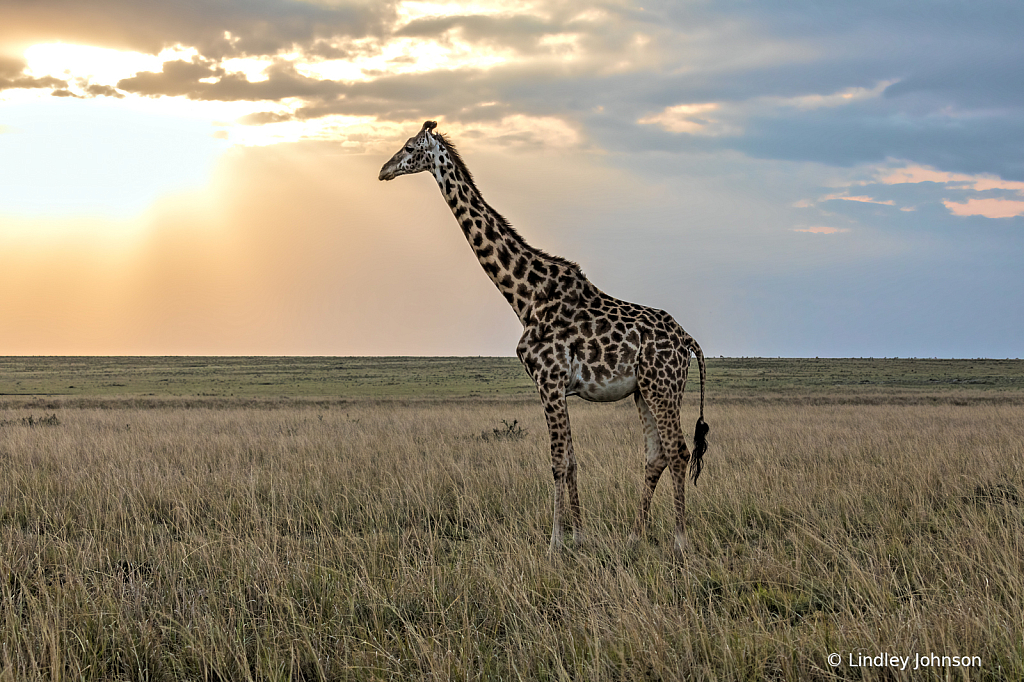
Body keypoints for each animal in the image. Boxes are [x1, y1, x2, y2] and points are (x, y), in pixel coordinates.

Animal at [380, 119, 708, 552]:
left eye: (408, 147)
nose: (383, 170)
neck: (524, 296)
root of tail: (688, 340)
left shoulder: (548, 381)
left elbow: (557, 461)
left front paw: (555, 542)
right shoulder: (558, 387)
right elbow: (571, 460)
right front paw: (579, 537)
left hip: (663, 386)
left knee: (679, 451)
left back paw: (680, 542)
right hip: (644, 390)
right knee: (656, 454)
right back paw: (635, 537)